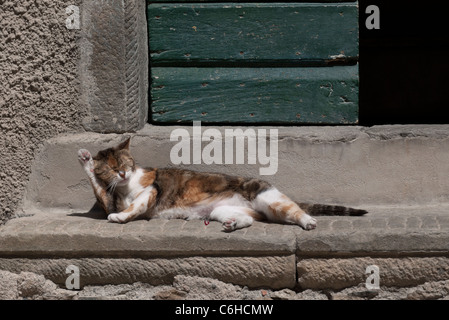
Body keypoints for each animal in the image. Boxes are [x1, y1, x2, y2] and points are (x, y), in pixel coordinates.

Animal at [76, 137, 364, 230]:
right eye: (111, 169)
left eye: (124, 164)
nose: (123, 174)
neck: (125, 187)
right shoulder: (109, 197)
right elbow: (98, 187)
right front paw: (86, 160)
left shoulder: (150, 190)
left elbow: (134, 206)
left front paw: (120, 217)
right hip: (221, 210)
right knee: (250, 220)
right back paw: (234, 224)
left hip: (268, 197)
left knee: (295, 210)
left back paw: (308, 221)